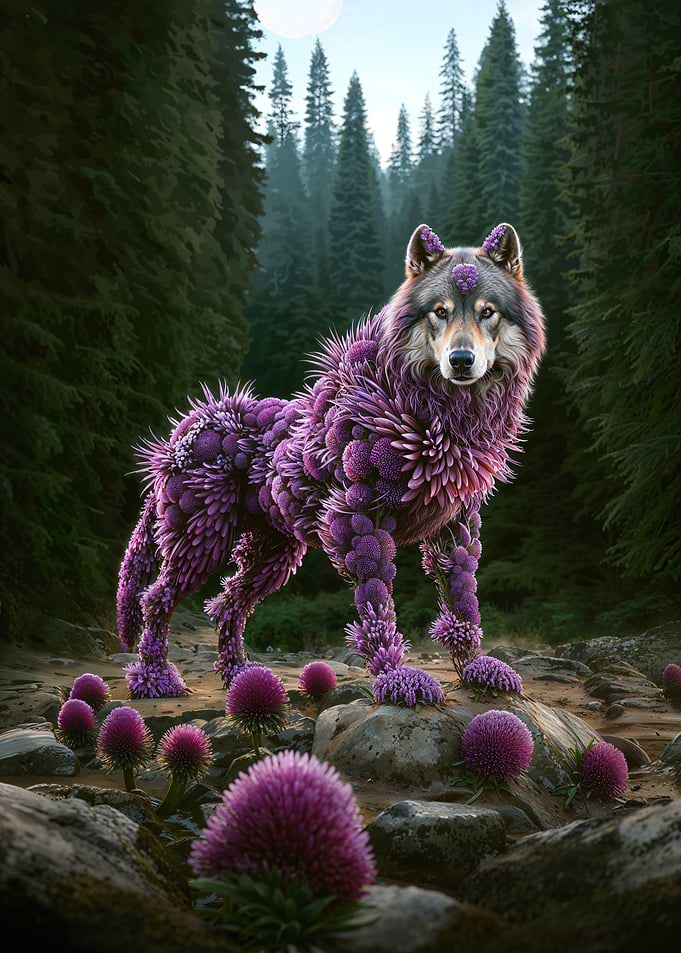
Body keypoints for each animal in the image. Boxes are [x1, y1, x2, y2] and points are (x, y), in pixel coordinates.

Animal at [117, 223, 546, 698]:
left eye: (488, 312)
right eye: (440, 312)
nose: (462, 360)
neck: (436, 412)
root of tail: (182, 432)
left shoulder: (457, 524)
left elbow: (463, 599)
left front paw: (475, 668)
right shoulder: (359, 521)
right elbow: (377, 606)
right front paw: (396, 677)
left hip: (274, 556)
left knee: (228, 604)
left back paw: (239, 678)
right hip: (202, 541)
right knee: (156, 599)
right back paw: (155, 679)